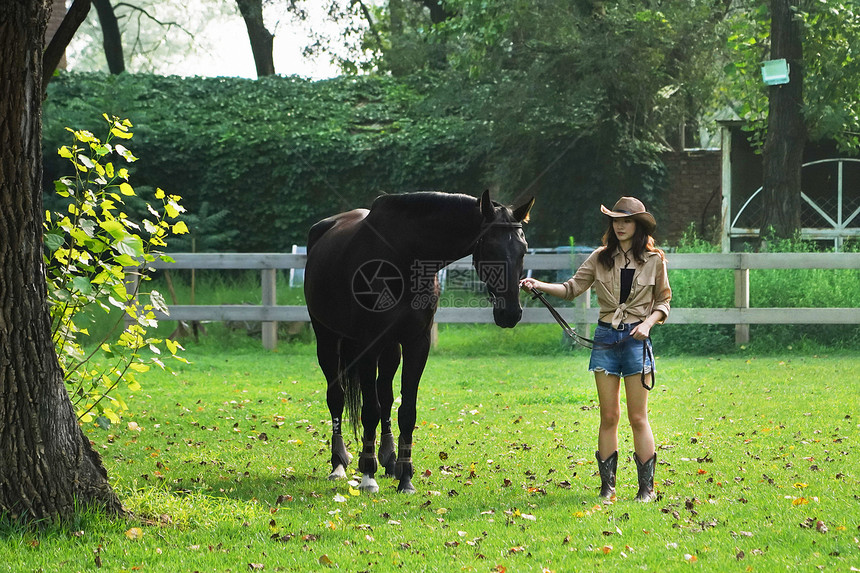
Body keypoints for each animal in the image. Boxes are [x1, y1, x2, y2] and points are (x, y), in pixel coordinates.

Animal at [302, 191, 532, 492]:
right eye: (491, 248)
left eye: (523, 250)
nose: (511, 313)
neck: (403, 255)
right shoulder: (367, 345)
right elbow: (370, 410)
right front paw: (368, 475)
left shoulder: (416, 344)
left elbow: (406, 411)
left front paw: (406, 477)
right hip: (328, 341)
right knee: (337, 398)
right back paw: (339, 463)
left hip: (390, 349)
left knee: (386, 395)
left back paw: (388, 459)